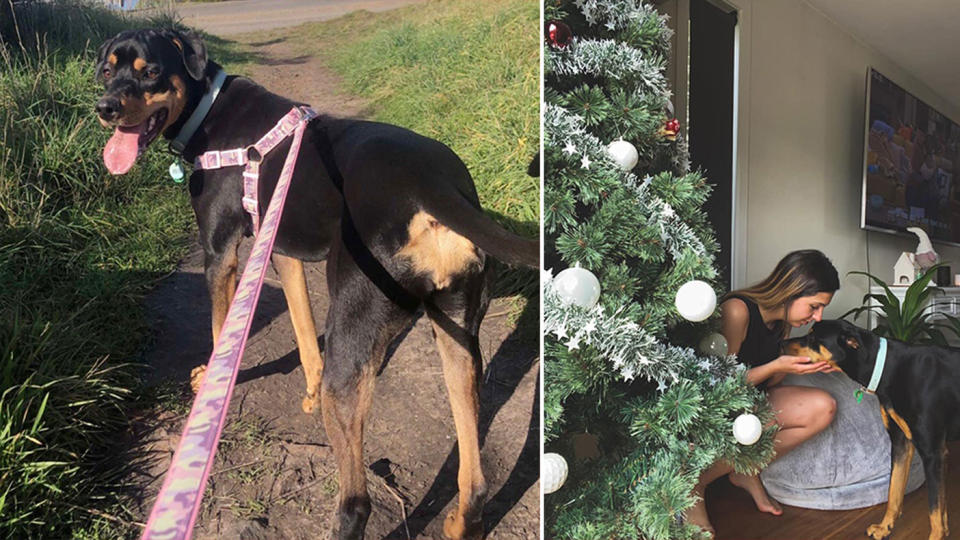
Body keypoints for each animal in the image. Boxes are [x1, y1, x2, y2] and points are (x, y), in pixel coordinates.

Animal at [94, 29, 540, 540]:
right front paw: (307, 389)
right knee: (475, 477)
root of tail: (431, 184)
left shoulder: (221, 254)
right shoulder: (281, 250)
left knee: (357, 503)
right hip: (459, 337)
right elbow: (304, 328)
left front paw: (212, 382)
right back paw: (461, 521)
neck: (209, 106)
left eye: (150, 71)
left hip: (353, 338)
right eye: (106, 70)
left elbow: (221, 331)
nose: (105, 107)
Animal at [784, 320, 956, 540]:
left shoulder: (932, 453)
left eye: (814, 338)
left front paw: (937, 534)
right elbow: (895, 490)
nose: (781, 344)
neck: (889, 368)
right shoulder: (901, 442)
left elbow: (934, 509)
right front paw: (885, 527)